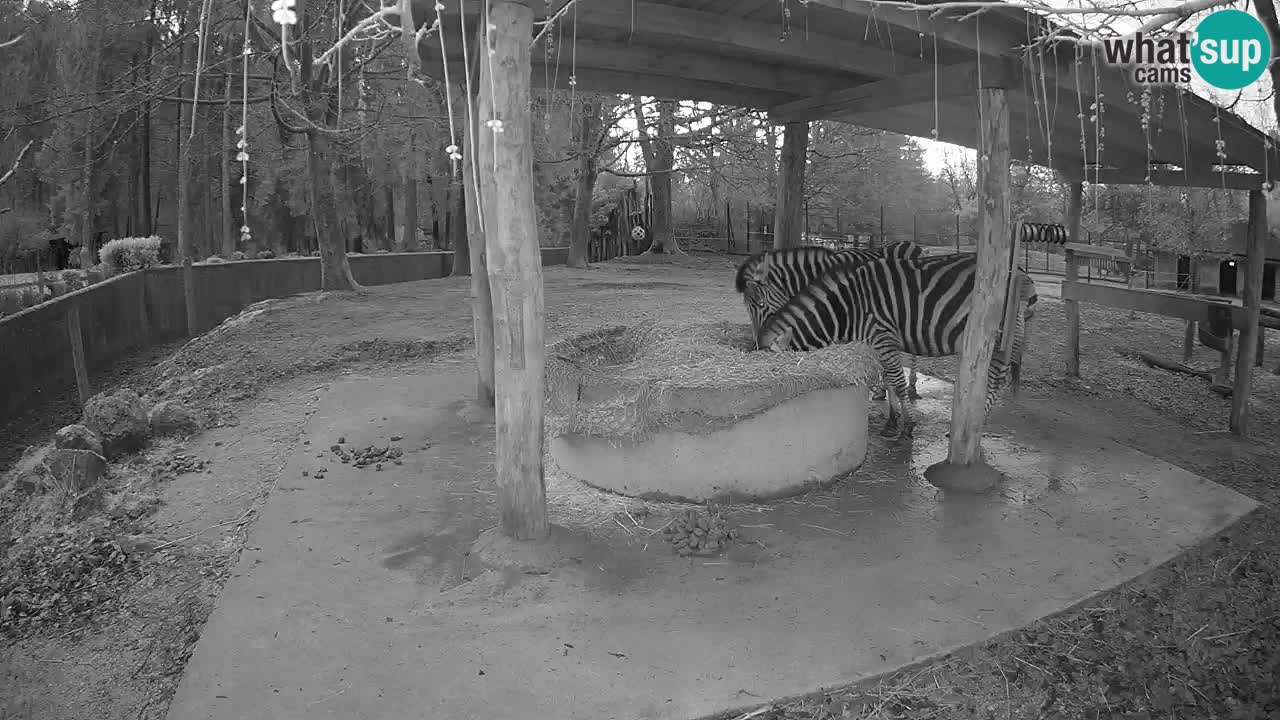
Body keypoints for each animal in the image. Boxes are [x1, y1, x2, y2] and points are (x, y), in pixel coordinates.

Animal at [752, 252, 1034, 443]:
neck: (847, 307)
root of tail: (1020, 270)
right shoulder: (879, 343)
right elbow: (888, 379)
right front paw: (891, 421)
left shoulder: (882, 335)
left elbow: (897, 382)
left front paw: (908, 425)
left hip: (998, 336)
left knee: (997, 380)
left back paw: (976, 426)